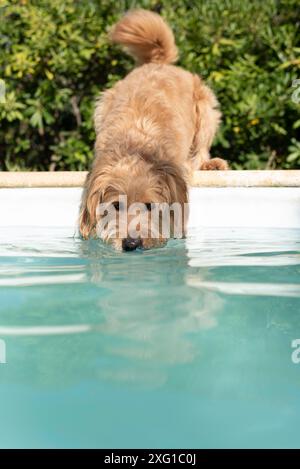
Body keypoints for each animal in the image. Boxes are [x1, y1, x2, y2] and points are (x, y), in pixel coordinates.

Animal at [79, 9, 227, 250]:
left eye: (150, 206)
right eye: (116, 206)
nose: (131, 243)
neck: (136, 145)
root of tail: (158, 62)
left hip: (206, 109)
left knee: (201, 149)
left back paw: (210, 164)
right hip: (102, 106)